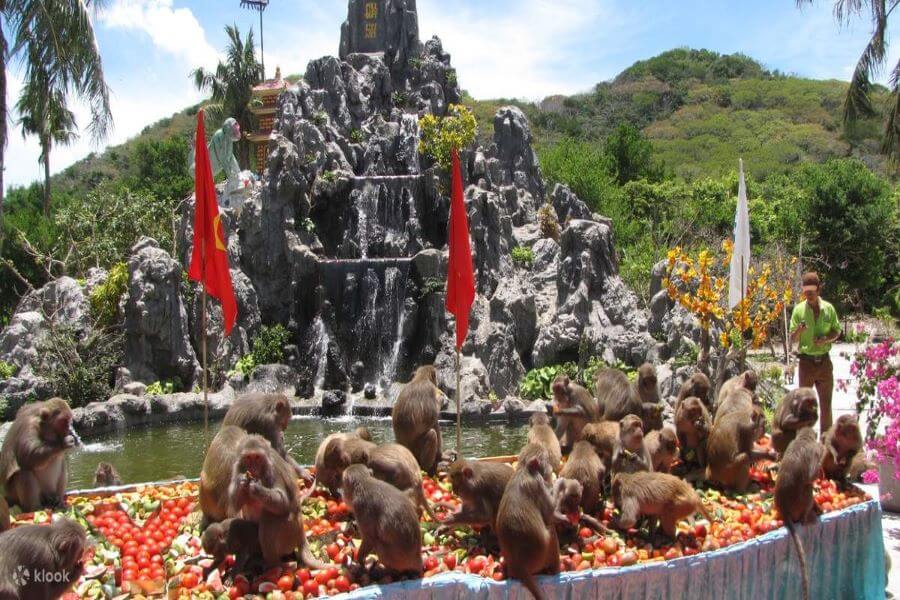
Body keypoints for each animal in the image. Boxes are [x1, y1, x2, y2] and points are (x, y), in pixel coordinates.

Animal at [496, 448, 559, 600]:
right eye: (547, 460)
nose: (550, 468)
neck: (524, 469)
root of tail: (519, 568)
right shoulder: (538, 483)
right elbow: (549, 513)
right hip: (539, 561)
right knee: (551, 530)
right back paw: (556, 570)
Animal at [774, 427, 825, 600]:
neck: (802, 439)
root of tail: (783, 508)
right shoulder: (816, 450)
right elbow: (812, 475)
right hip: (799, 504)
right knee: (807, 487)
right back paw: (806, 516)